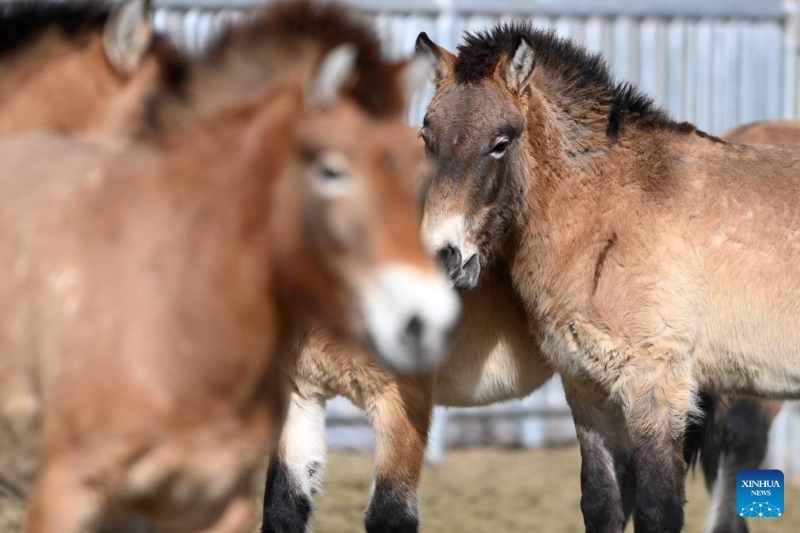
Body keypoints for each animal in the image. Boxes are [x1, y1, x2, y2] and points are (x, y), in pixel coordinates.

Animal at [416, 23, 800, 533]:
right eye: (427, 137)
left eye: (500, 142)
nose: (444, 257)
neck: (608, 212)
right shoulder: (587, 388)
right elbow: (602, 502)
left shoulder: (657, 385)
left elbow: (658, 509)